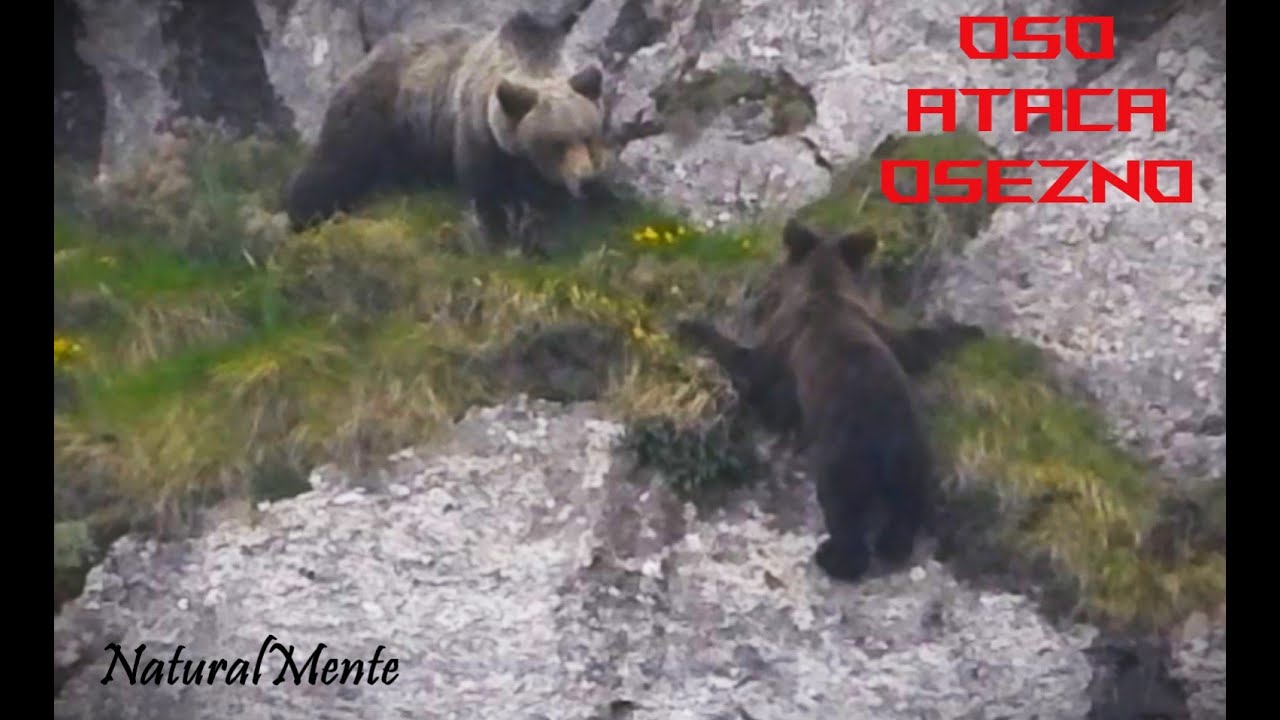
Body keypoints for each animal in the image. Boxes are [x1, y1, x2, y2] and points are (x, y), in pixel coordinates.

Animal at [283, 0, 613, 255]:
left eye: (588, 136)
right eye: (556, 143)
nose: (586, 180)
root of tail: (373, 50)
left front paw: (545, 236)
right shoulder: (477, 133)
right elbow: (487, 193)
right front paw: (498, 238)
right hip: (379, 114)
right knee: (336, 162)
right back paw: (303, 213)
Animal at [675, 218, 973, 582]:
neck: (825, 291)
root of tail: (886, 443)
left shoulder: (784, 345)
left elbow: (756, 375)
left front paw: (692, 326)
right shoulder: (879, 329)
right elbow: (916, 345)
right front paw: (969, 331)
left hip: (844, 458)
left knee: (842, 508)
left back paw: (833, 556)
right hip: (915, 459)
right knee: (905, 511)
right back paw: (893, 546)